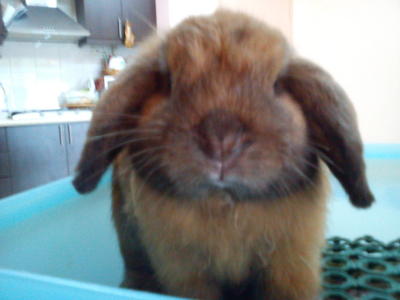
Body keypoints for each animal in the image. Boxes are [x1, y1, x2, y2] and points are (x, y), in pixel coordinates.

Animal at [72, 9, 376, 300]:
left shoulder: (291, 264)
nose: (221, 139)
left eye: (277, 84)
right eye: (167, 81)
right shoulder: (183, 269)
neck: (226, 204)